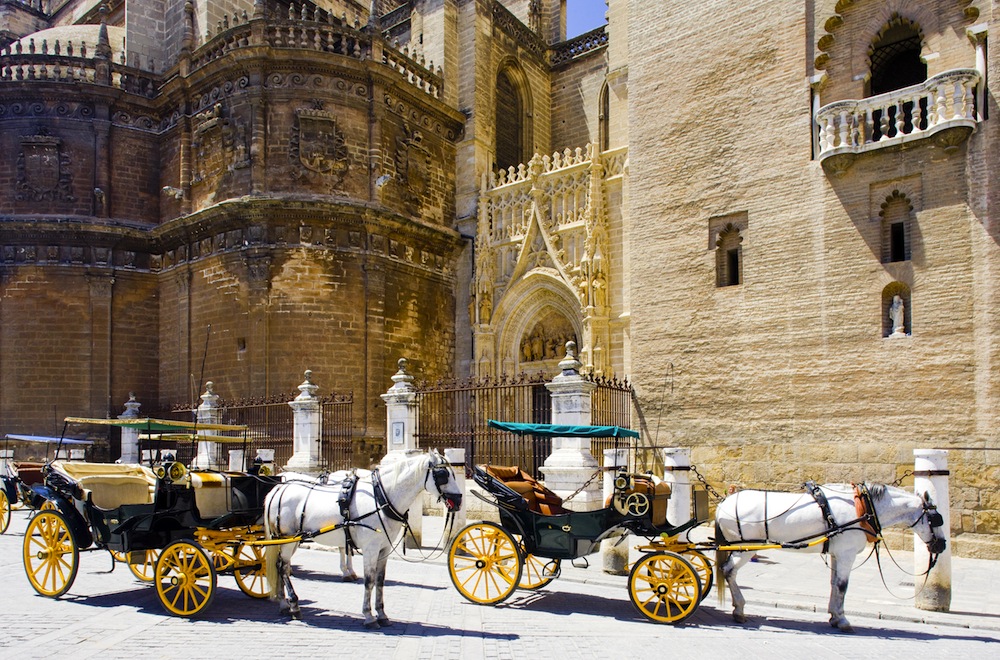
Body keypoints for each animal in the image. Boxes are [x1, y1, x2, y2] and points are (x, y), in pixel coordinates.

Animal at [264, 448, 462, 628]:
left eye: (453, 473)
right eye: (443, 474)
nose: (459, 500)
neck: (381, 498)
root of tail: (279, 488)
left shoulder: (384, 549)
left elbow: (380, 580)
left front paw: (382, 614)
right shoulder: (370, 548)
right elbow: (369, 580)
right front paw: (369, 616)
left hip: (290, 540)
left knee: (280, 565)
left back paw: (283, 604)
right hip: (288, 538)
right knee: (283, 567)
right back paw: (294, 605)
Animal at [716, 482, 940, 632]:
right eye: (936, 519)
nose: (942, 545)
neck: (863, 507)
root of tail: (723, 505)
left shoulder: (836, 553)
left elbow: (834, 584)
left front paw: (834, 616)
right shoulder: (847, 553)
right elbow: (842, 585)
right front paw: (843, 620)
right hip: (745, 547)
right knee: (729, 571)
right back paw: (739, 610)